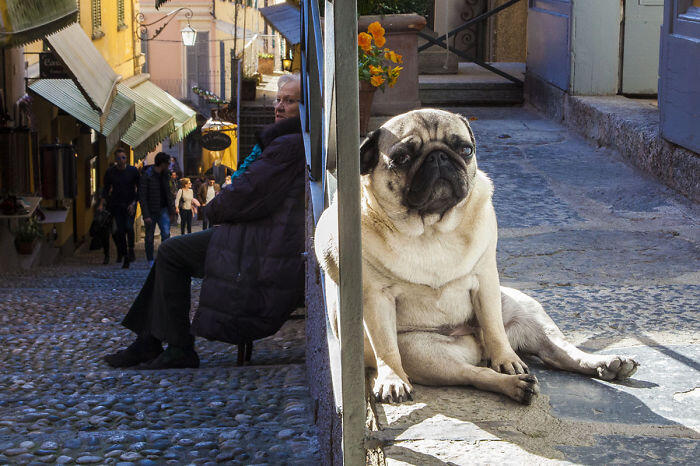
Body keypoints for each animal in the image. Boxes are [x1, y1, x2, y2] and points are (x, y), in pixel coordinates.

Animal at [314, 109, 636, 404]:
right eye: (402, 158)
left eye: (465, 149)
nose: (438, 157)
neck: (431, 229)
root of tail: (476, 347)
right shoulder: (375, 296)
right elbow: (385, 348)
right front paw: (392, 379)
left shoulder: (485, 280)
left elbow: (493, 327)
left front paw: (506, 360)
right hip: (423, 352)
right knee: (473, 373)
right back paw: (516, 386)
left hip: (525, 308)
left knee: (556, 351)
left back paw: (603, 364)